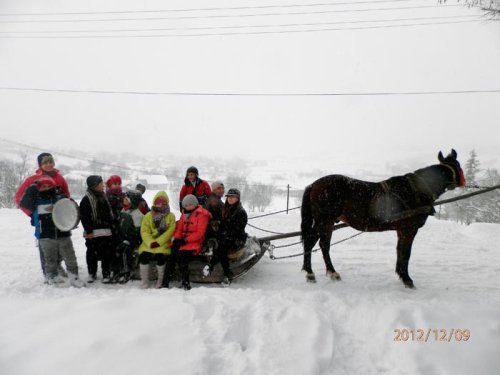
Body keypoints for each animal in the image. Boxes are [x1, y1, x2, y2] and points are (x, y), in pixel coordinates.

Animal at [298, 149, 466, 288]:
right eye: (458, 165)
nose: (464, 182)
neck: (416, 189)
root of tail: (313, 184)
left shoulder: (401, 230)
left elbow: (399, 251)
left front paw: (400, 274)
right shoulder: (409, 229)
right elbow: (406, 253)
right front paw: (407, 279)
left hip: (326, 222)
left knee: (316, 243)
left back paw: (317, 272)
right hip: (325, 220)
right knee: (318, 243)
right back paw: (318, 273)